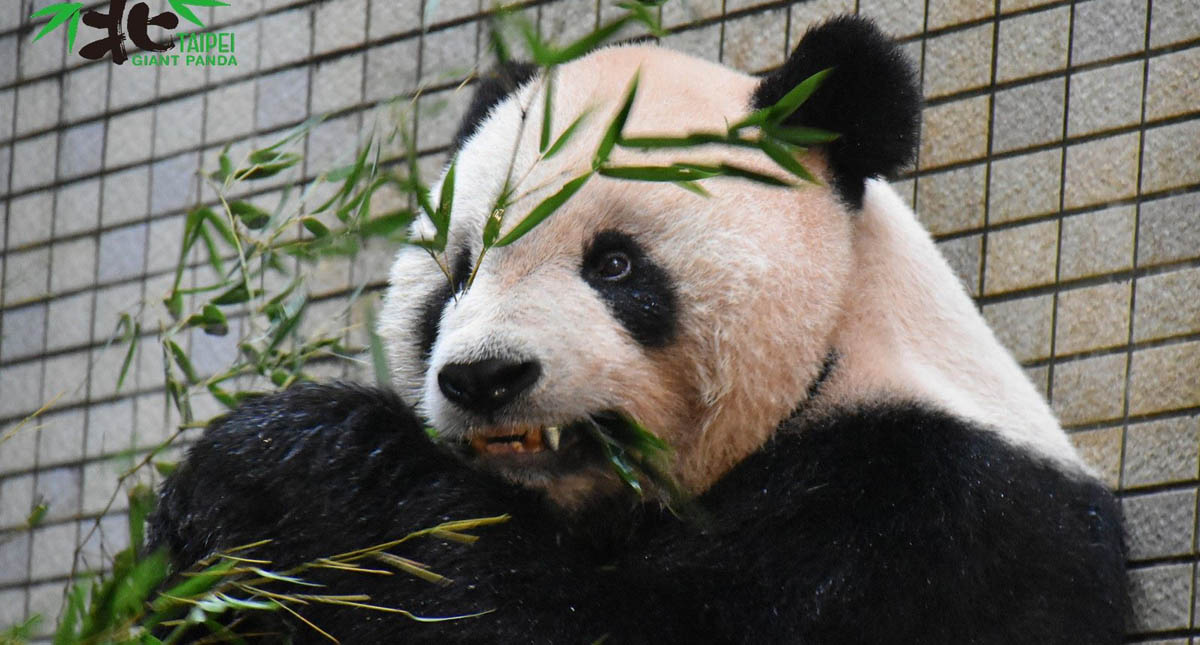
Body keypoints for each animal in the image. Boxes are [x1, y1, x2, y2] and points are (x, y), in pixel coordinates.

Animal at [149, 15, 1129, 644]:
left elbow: (588, 622)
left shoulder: (919, 519)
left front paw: (288, 458)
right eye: (460, 273)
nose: (485, 377)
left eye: (616, 265)